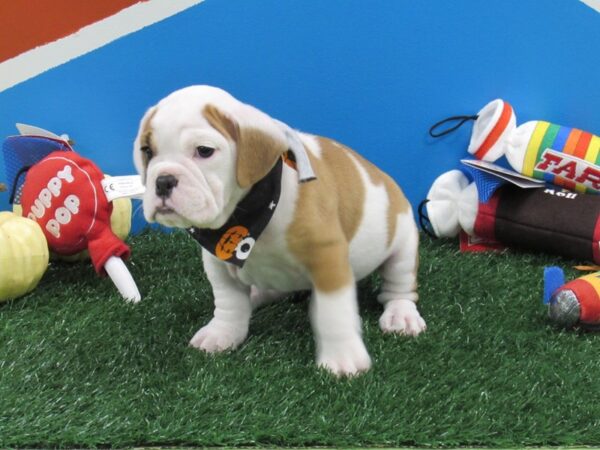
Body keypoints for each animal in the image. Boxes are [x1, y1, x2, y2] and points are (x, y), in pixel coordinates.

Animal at [133, 85, 426, 376]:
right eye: (147, 151)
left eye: (204, 151)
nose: (163, 181)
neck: (249, 218)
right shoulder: (218, 262)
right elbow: (229, 302)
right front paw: (222, 333)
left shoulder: (327, 257)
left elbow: (333, 312)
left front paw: (343, 357)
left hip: (403, 247)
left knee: (398, 286)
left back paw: (401, 314)